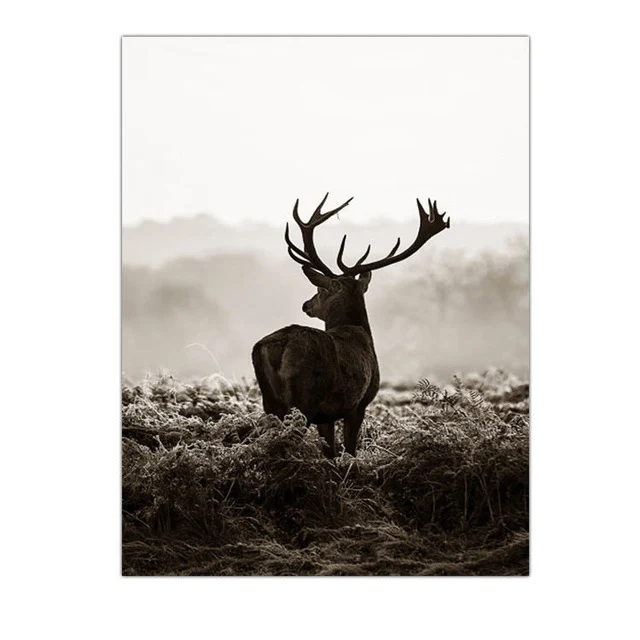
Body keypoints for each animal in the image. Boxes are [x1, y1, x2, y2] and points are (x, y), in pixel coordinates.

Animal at [252, 193, 450, 457]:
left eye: (319, 290)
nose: (306, 304)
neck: (359, 330)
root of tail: (278, 345)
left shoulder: (327, 416)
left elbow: (331, 453)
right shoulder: (359, 404)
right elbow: (350, 450)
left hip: (270, 401)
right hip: (305, 398)